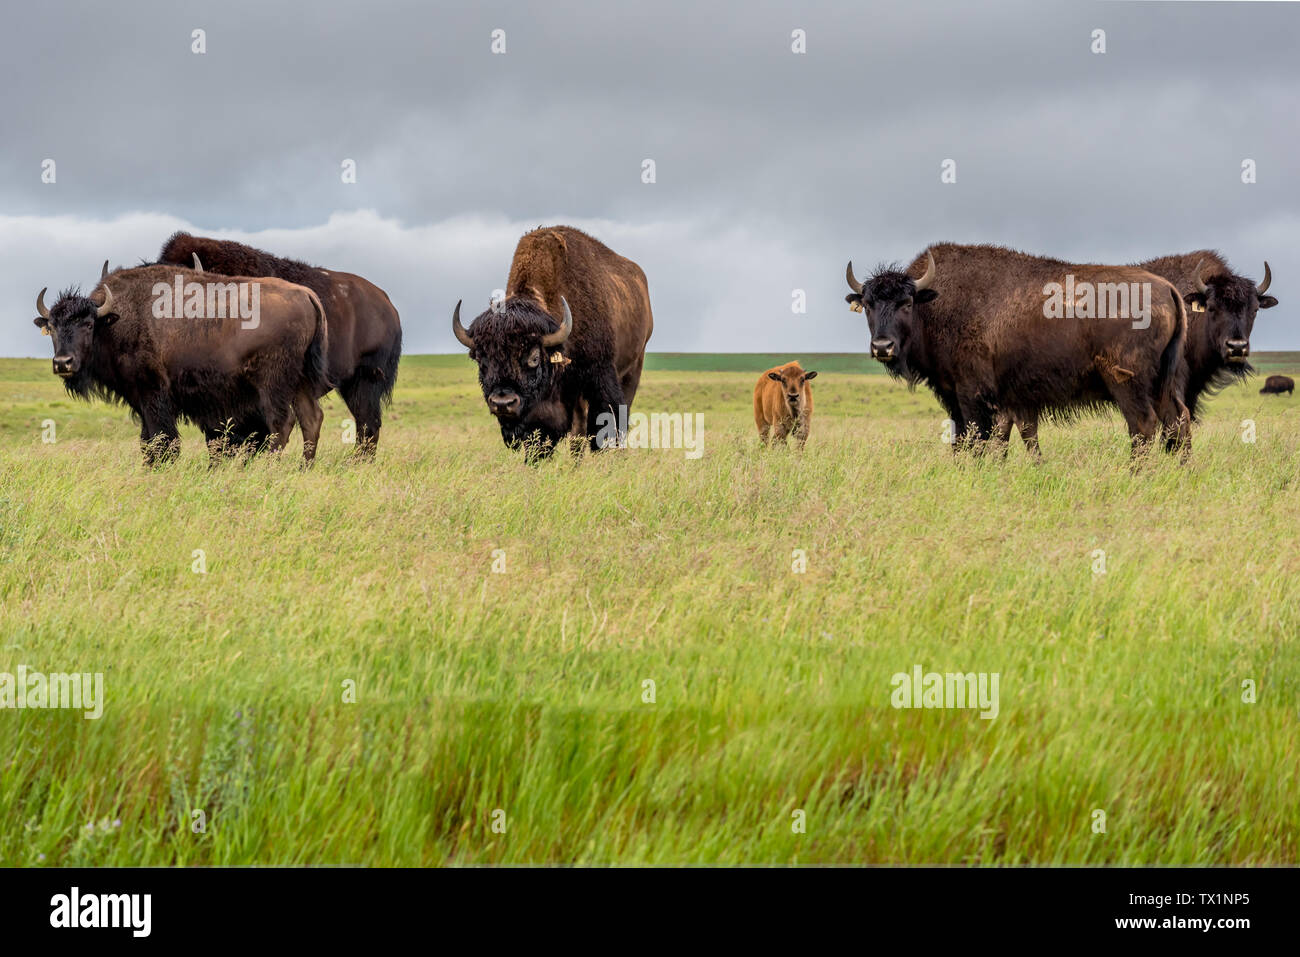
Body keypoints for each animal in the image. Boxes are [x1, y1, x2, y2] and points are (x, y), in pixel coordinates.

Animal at [34, 264, 330, 465]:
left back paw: (270, 467)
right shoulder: (143, 401)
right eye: (52, 327)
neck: (115, 321)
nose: (63, 363)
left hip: (273, 383)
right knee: (311, 419)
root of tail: (305, 294)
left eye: (88, 324)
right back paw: (303, 468)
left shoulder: (153, 395)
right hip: (301, 381)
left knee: (282, 422)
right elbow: (148, 440)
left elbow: (162, 439)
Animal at [451, 226, 654, 456]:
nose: (503, 402)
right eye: (481, 359)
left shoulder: (600, 377)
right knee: (578, 432)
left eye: (534, 358)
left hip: (633, 367)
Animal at [845, 243, 1189, 457]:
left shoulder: (971, 394)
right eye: (868, 305)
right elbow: (988, 439)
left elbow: (977, 439)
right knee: (1177, 420)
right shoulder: (992, 398)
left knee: (1143, 426)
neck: (934, 303)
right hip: (1162, 382)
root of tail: (1167, 289)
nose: (882, 346)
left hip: (1126, 382)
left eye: (906, 303)